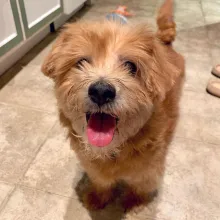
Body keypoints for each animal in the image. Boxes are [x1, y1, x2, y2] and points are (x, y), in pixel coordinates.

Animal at [40, 0, 184, 211]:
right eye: (81, 62)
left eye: (131, 66)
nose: (101, 91)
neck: (113, 150)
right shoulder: (95, 169)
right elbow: (101, 182)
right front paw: (98, 197)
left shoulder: (148, 171)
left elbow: (139, 186)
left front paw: (134, 203)